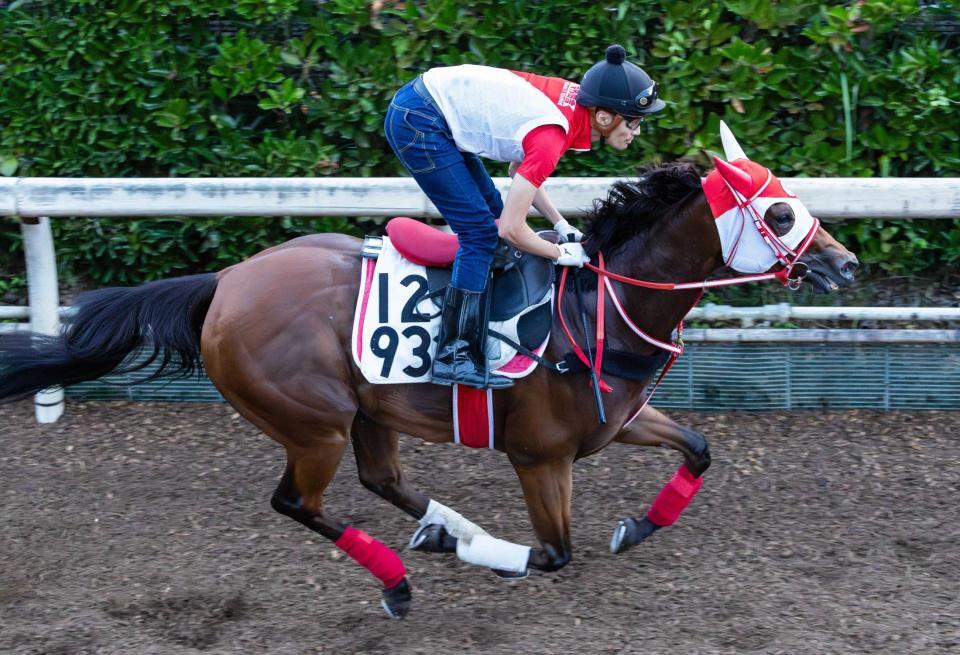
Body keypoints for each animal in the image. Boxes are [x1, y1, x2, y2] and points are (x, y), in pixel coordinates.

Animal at [0, 156, 856, 616]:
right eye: (780, 212)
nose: (844, 262)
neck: (596, 305)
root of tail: (226, 282)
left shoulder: (617, 419)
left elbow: (699, 447)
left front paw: (639, 524)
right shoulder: (539, 455)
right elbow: (555, 553)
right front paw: (501, 549)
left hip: (366, 407)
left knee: (382, 478)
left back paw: (443, 528)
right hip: (311, 421)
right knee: (297, 502)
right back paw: (410, 570)